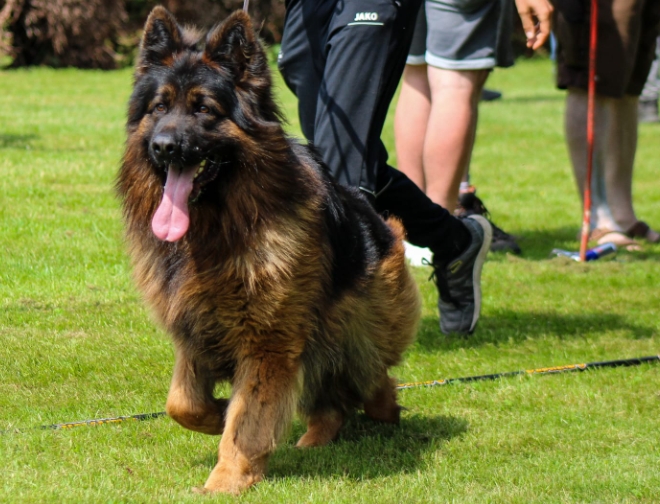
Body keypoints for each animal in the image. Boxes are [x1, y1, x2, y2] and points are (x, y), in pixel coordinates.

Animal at [116, 6, 420, 496]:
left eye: (204, 109)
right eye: (159, 107)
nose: (163, 146)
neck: (217, 231)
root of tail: (377, 221)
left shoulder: (267, 344)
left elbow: (246, 423)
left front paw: (227, 480)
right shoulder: (194, 331)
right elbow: (181, 404)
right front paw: (216, 413)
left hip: (359, 334)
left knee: (371, 378)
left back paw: (386, 410)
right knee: (332, 399)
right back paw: (316, 438)